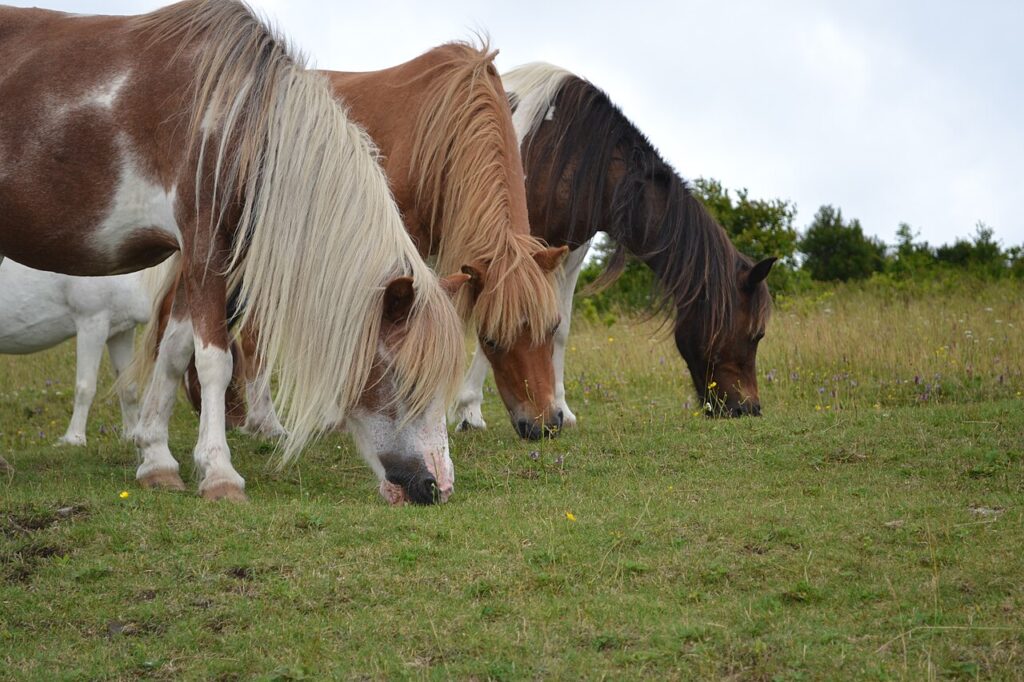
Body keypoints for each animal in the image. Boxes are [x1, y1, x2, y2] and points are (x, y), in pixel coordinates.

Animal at [0, 259, 156, 445]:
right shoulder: (92, 324)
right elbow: (85, 387)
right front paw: (74, 439)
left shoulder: (121, 332)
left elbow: (127, 386)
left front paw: (130, 437)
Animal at [452, 63, 776, 426]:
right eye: (756, 334)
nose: (749, 408)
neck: (563, 152)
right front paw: (469, 411)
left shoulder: (568, 253)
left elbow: (560, 327)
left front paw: (562, 408)